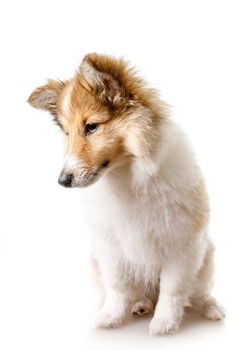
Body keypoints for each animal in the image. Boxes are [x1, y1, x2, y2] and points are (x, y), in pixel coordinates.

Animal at [28, 53, 225, 334]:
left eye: (91, 127)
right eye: (66, 132)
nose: (63, 181)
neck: (128, 174)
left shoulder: (180, 244)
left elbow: (173, 288)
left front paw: (164, 324)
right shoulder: (109, 246)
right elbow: (117, 286)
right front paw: (110, 316)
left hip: (206, 256)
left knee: (196, 292)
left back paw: (211, 308)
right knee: (138, 292)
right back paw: (141, 304)